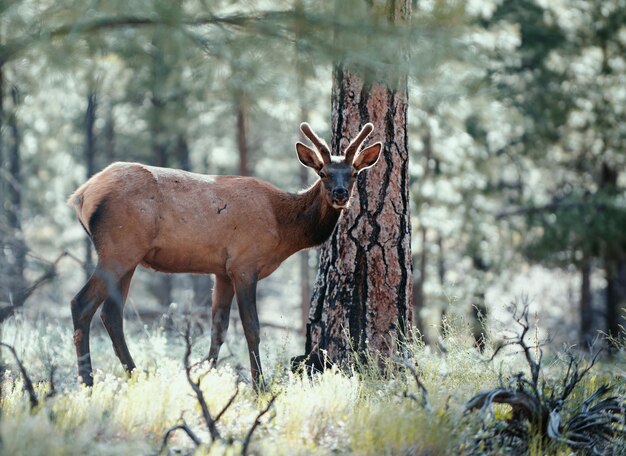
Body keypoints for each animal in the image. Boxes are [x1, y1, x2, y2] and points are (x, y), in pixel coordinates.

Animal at [68, 122, 380, 388]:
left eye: (354, 173)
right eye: (323, 173)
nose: (340, 193)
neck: (283, 228)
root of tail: (81, 195)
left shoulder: (222, 270)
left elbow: (218, 328)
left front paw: (200, 376)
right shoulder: (244, 263)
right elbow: (252, 328)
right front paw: (259, 386)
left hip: (129, 256)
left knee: (111, 313)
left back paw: (135, 376)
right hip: (119, 247)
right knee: (82, 303)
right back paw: (88, 382)